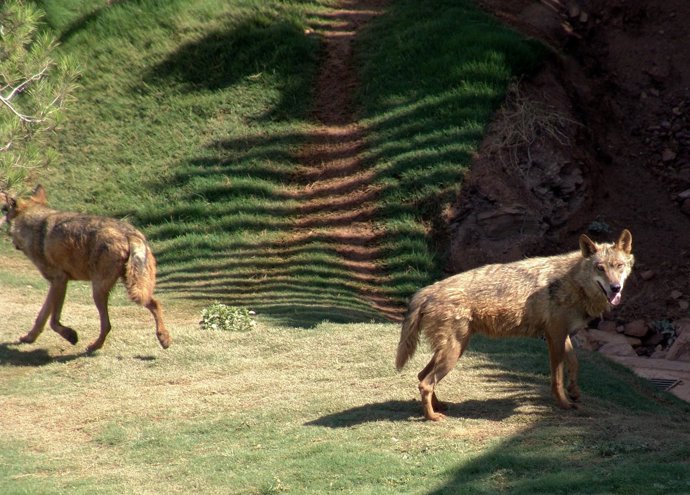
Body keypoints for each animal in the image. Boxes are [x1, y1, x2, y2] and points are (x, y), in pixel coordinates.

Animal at [0, 185, 171, 352]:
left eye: (6, 217)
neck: (35, 227)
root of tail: (128, 233)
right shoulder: (55, 284)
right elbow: (41, 317)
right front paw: (29, 338)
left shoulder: (59, 281)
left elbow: (53, 321)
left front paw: (71, 335)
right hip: (134, 287)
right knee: (155, 304)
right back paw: (164, 339)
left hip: (99, 291)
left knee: (107, 325)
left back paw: (93, 347)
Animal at [396, 229, 634, 421]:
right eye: (600, 268)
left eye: (619, 266)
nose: (615, 288)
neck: (572, 281)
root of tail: (427, 290)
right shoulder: (554, 337)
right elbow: (557, 378)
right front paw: (565, 404)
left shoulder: (562, 334)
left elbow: (575, 363)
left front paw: (575, 391)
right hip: (453, 353)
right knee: (425, 383)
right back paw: (432, 417)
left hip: (453, 350)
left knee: (421, 376)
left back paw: (439, 407)